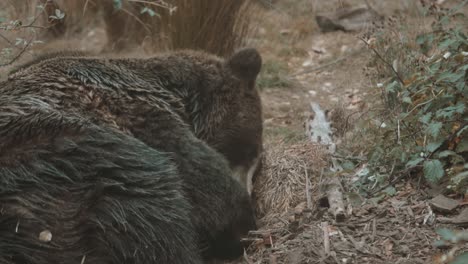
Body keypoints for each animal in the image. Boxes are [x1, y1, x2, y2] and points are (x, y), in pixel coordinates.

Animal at [0, 48, 264, 262]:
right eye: (250, 153)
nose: (251, 192)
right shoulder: (137, 113)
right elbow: (206, 182)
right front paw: (240, 226)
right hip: (76, 160)